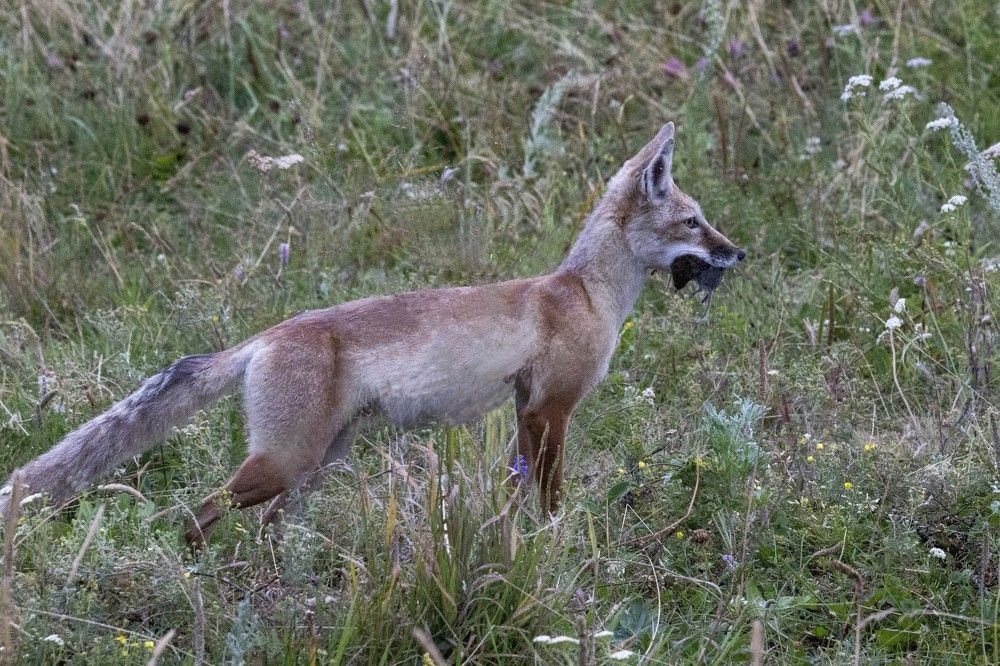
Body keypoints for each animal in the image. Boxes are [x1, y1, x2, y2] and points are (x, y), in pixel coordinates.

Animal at [1, 120, 744, 544]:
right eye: (693, 222)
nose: (740, 253)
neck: (585, 296)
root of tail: (267, 334)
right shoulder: (549, 408)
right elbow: (550, 500)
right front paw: (558, 547)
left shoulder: (524, 412)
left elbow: (517, 498)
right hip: (287, 463)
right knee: (193, 516)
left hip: (315, 467)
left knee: (257, 528)